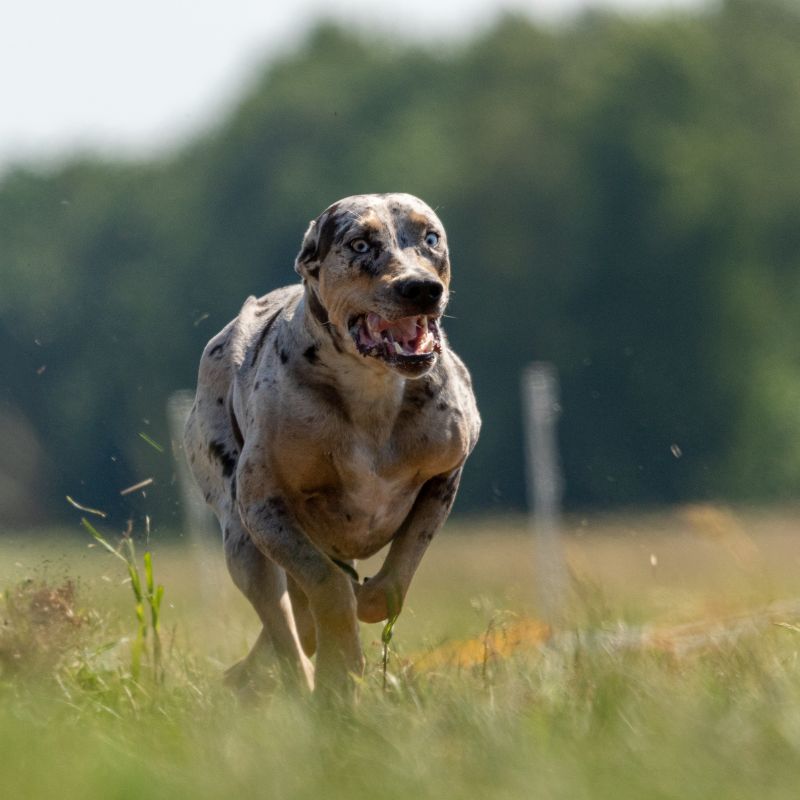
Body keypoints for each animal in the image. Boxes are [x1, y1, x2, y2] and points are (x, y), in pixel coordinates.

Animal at [184, 194, 478, 700]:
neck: (372, 392)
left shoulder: (446, 473)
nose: (422, 288)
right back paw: (295, 680)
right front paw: (340, 666)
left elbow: (393, 580)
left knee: (298, 622)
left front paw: (368, 603)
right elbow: (327, 587)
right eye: (359, 243)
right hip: (241, 544)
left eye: (431, 237)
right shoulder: (263, 509)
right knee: (283, 622)